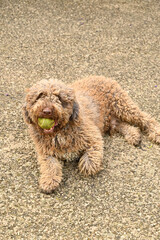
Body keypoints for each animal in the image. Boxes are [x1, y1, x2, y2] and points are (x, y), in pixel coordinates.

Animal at [23, 76, 159, 193]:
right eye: (40, 96)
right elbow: (50, 165)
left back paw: (156, 133)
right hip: (110, 119)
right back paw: (133, 135)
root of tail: (101, 76)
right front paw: (48, 181)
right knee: (120, 124)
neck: (59, 132)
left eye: (59, 98)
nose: (47, 111)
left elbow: (90, 158)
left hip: (123, 106)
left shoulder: (93, 136)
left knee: (144, 118)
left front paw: (87, 165)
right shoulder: (45, 152)